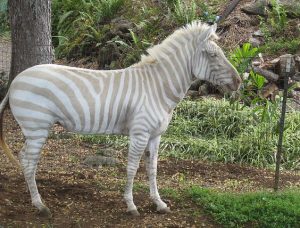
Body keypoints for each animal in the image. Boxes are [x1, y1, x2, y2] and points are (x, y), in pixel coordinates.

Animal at [0, 21, 240, 217]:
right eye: (213, 55)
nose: (239, 82)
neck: (157, 88)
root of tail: (16, 81)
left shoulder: (155, 136)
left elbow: (152, 169)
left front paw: (159, 204)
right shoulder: (140, 133)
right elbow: (132, 168)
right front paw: (131, 205)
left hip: (33, 130)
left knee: (24, 158)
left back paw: (33, 198)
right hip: (37, 127)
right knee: (28, 161)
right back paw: (40, 205)